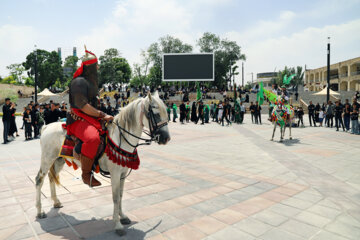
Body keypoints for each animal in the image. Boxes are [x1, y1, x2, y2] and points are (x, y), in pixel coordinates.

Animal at [35, 92, 170, 236]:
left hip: (58, 160)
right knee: (39, 180)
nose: (166, 138)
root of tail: (46, 127)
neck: (120, 137)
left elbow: (120, 195)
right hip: (47, 158)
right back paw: (39, 211)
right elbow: (115, 197)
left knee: (51, 178)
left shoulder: (122, 174)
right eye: (156, 114)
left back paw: (56, 201)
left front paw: (122, 217)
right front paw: (117, 225)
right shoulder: (115, 174)